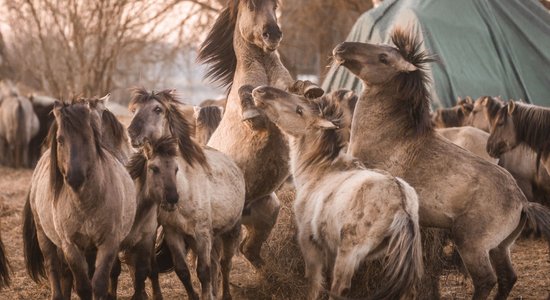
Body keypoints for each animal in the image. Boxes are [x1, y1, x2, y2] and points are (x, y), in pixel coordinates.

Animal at [22, 101, 137, 300]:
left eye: (87, 137)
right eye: (60, 140)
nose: (74, 177)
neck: (85, 204)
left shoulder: (109, 243)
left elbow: (100, 283)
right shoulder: (70, 246)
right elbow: (83, 286)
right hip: (45, 237)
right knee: (54, 268)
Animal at [130, 136, 245, 300]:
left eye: (176, 169)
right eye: (154, 168)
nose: (172, 199)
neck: (186, 193)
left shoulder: (202, 234)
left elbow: (203, 272)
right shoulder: (173, 233)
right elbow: (183, 270)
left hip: (231, 231)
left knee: (225, 264)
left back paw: (226, 295)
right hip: (199, 239)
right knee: (215, 263)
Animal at [198, 0, 326, 264]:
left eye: (275, 5)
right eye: (250, 5)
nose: (273, 34)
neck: (265, 68)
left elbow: (295, 87)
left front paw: (311, 89)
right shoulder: (257, 120)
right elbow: (248, 93)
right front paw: (251, 109)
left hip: (267, 213)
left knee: (248, 250)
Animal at [252, 86, 424, 300]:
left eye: (299, 110)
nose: (260, 91)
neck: (319, 172)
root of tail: (402, 203)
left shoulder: (309, 243)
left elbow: (314, 284)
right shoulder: (330, 248)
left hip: (349, 254)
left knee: (338, 290)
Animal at [336, 27, 550, 298]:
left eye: (383, 57)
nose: (342, 47)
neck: (389, 135)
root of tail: (522, 202)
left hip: (471, 245)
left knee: (486, 279)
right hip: (500, 247)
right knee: (507, 277)